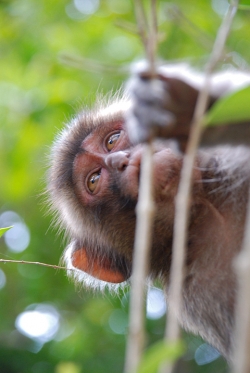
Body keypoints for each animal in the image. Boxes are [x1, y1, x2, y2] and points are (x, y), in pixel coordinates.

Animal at [47, 64, 250, 360]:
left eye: (112, 141)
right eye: (94, 180)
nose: (119, 160)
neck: (208, 209)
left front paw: (185, 109)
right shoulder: (198, 294)